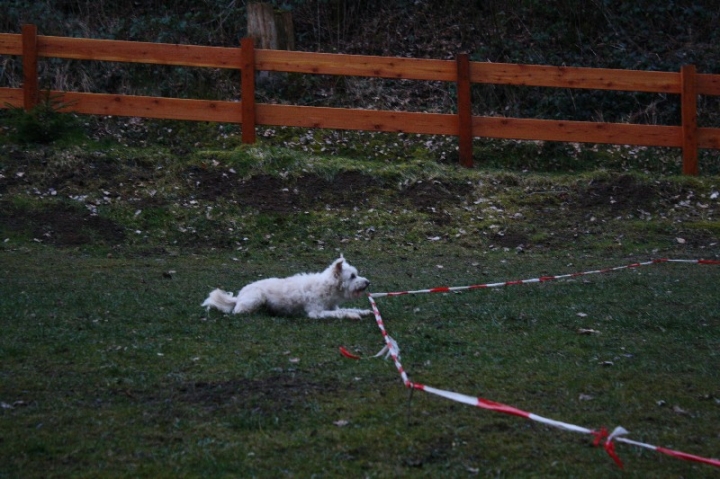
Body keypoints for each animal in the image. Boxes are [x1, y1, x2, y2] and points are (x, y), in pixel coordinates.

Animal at [201, 256, 374, 320]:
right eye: (352, 276)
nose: (368, 282)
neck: (328, 286)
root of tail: (239, 296)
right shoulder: (316, 312)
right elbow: (340, 313)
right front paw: (352, 316)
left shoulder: (332, 306)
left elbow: (348, 308)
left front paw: (364, 311)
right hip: (256, 298)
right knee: (238, 311)